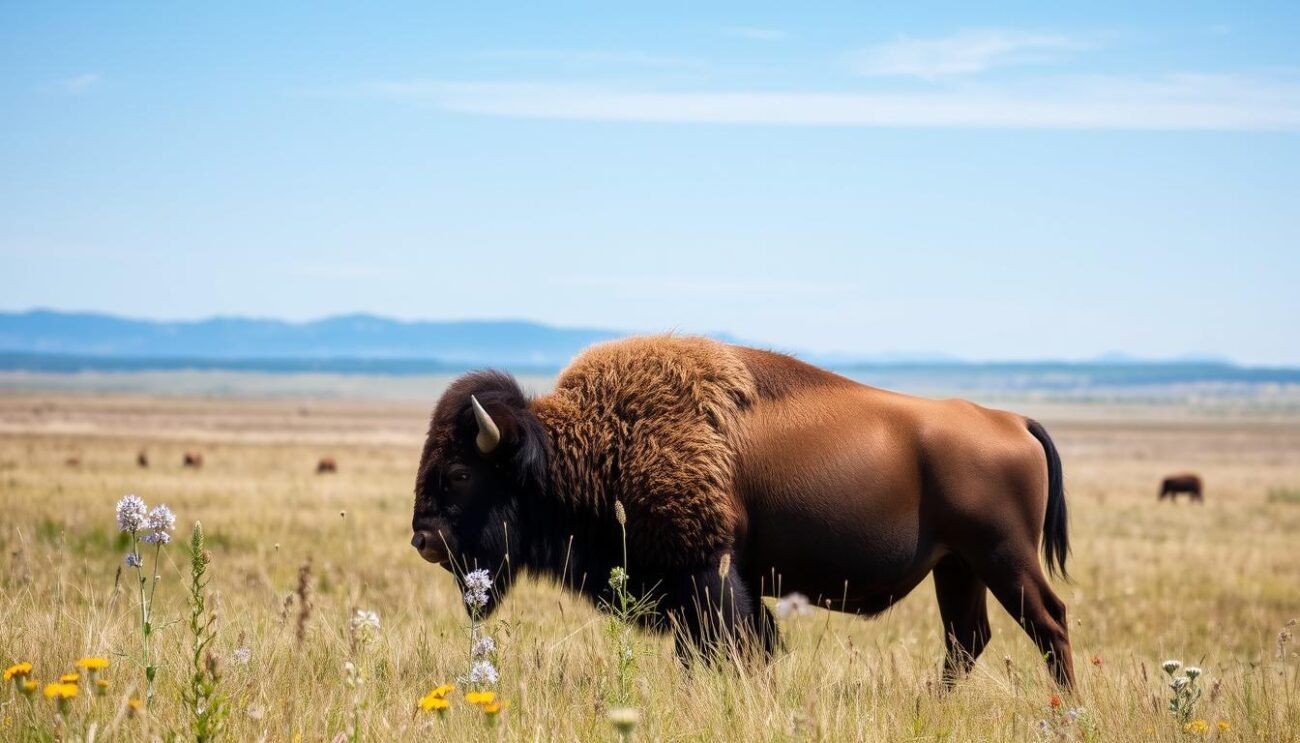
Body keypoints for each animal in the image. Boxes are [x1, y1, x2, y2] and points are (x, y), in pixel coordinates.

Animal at [408, 337, 1076, 691]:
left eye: (460, 473)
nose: (423, 539)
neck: (593, 440)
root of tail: (1013, 420)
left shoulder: (709, 573)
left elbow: (734, 644)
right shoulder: (691, 587)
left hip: (1003, 558)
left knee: (1049, 623)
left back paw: (1066, 708)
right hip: (957, 566)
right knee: (968, 638)